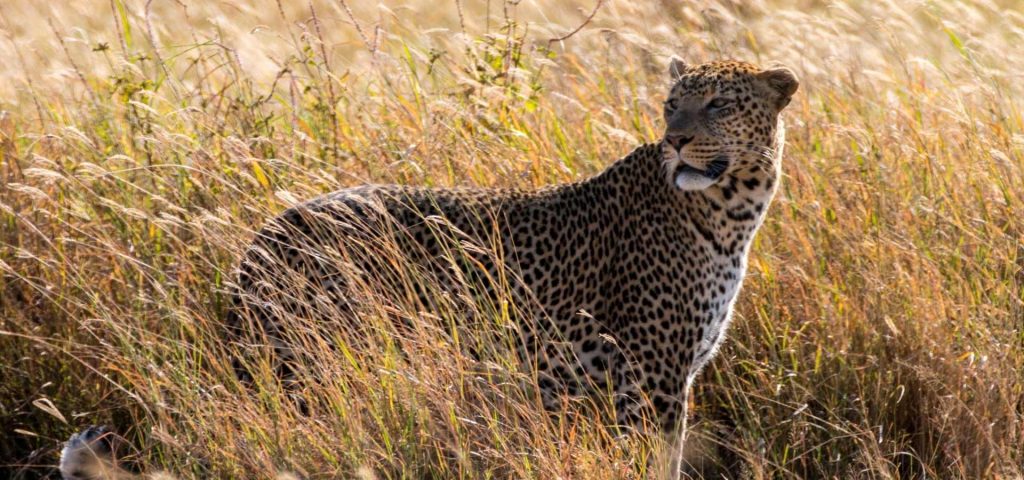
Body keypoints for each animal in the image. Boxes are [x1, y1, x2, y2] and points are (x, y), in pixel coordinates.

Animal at [60, 58, 797, 479]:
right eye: (671, 102)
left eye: (719, 104)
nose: (676, 138)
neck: (732, 211)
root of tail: (266, 234)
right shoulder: (650, 381)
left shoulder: (658, 380)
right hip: (314, 366)